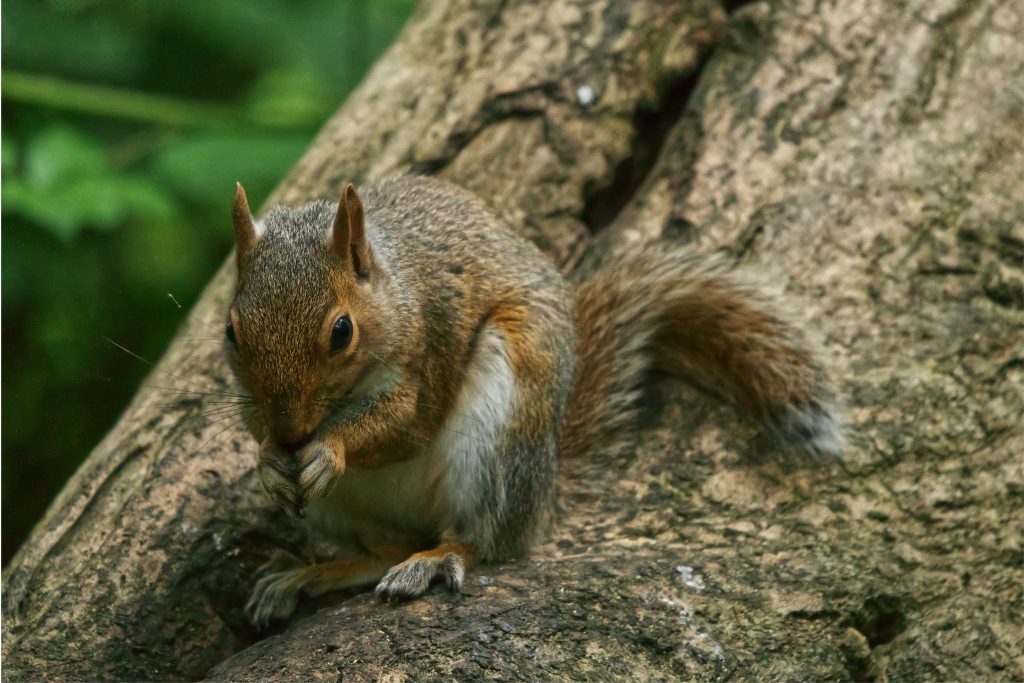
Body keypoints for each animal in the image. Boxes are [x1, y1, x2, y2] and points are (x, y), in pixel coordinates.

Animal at [225, 176, 844, 628]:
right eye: (231, 330)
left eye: (341, 331)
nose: (291, 433)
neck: (392, 286)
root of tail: (543, 491)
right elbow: (257, 431)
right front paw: (267, 459)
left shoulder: (430, 343)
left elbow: (404, 424)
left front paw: (328, 448)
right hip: (346, 508)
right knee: (384, 549)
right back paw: (307, 574)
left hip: (500, 429)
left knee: (486, 541)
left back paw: (436, 559)